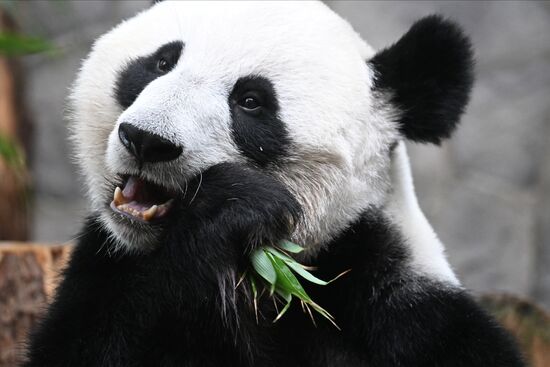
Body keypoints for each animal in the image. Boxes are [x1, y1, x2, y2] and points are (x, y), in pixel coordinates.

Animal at [24, 1, 528, 366]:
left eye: (251, 101)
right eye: (161, 62)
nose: (147, 140)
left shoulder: (407, 309)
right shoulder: (109, 265)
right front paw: (229, 208)